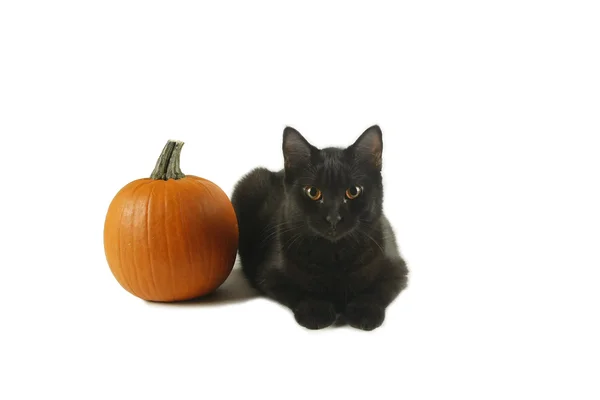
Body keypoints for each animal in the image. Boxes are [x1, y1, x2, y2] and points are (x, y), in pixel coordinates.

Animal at [230, 126, 408, 332]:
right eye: (313, 192)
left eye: (353, 191)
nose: (333, 217)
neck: (335, 255)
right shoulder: (269, 275)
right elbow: (300, 291)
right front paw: (316, 310)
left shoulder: (397, 269)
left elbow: (376, 291)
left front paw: (364, 312)